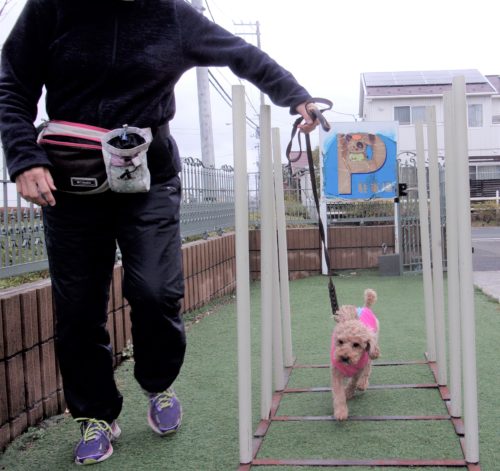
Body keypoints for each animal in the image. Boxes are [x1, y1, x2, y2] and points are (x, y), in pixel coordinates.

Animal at [330, 289, 380, 421]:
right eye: (340, 341)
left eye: (356, 344)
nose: (344, 357)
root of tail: (366, 307)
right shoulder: (336, 373)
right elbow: (339, 394)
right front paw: (341, 411)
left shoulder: (359, 368)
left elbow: (353, 381)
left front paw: (349, 392)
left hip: (371, 349)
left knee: (368, 367)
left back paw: (362, 384)